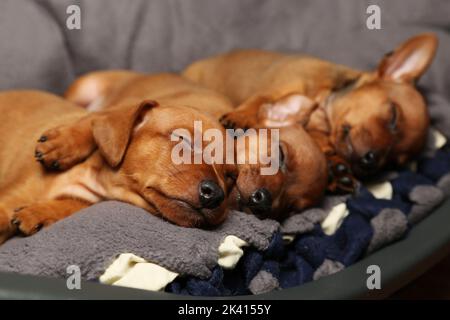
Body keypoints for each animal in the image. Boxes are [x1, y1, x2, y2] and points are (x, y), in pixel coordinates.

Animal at [51, 73, 326, 221]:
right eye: (280, 155)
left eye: (289, 209)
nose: (264, 203)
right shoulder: (121, 110)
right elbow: (89, 124)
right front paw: (63, 144)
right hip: (84, 87)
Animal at [184, 32, 440, 192]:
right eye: (393, 116)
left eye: (394, 161)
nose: (371, 161)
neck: (321, 109)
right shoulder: (281, 86)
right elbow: (260, 99)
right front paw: (241, 116)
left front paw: (336, 169)